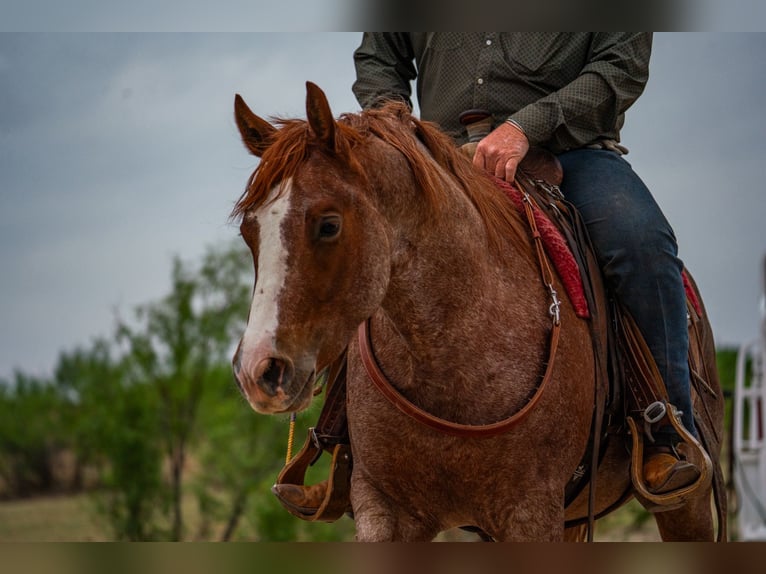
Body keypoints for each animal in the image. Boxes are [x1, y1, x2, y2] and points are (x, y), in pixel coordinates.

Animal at [230, 82, 725, 541]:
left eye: (329, 224)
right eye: (249, 232)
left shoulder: (530, 513)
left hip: (682, 505)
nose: (258, 371)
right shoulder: (383, 510)